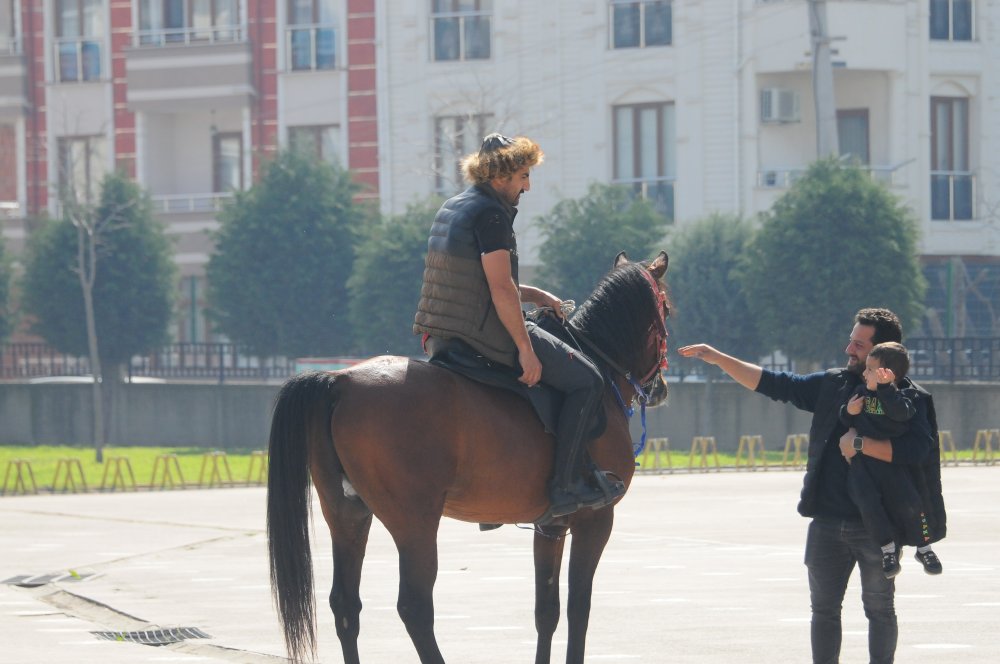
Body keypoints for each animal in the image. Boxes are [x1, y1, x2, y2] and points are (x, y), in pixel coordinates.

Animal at [270, 250, 668, 664]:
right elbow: (579, 607)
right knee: (414, 606)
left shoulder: (552, 526)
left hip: (347, 515)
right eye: (667, 308)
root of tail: (341, 381)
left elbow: (547, 611)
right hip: (414, 522)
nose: (660, 389)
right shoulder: (595, 520)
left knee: (346, 605)